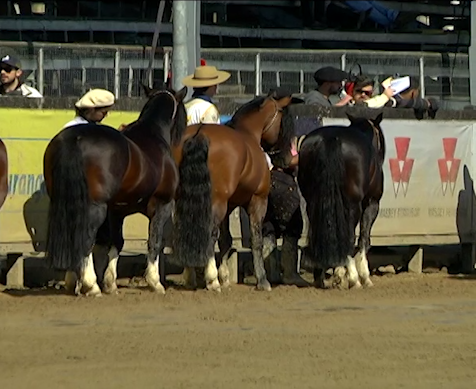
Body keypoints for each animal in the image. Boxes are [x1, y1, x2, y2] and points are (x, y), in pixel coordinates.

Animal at [43, 83, 187, 296]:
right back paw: (91, 285)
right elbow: (154, 242)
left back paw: (73, 281)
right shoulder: (163, 205)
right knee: (84, 238)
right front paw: (155, 282)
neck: (153, 134)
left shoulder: (117, 211)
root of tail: (75, 138)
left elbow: (117, 242)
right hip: (95, 207)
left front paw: (110, 283)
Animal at [171, 89, 298, 290]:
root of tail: (199, 134)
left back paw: (191, 276)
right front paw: (262, 279)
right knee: (209, 233)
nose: (286, 159)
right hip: (217, 203)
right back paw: (211, 279)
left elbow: (226, 240)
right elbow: (256, 240)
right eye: (283, 122)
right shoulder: (257, 201)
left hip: (186, 200)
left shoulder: (229, 206)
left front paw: (224, 275)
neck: (248, 134)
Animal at [298, 112, 386, 288]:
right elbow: (363, 238)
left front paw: (338, 273)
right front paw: (362, 276)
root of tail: (329, 139)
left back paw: (320, 277)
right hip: (353, 205)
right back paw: (353, 278)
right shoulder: (372, 203)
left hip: (313, 202)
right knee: (349, 236)